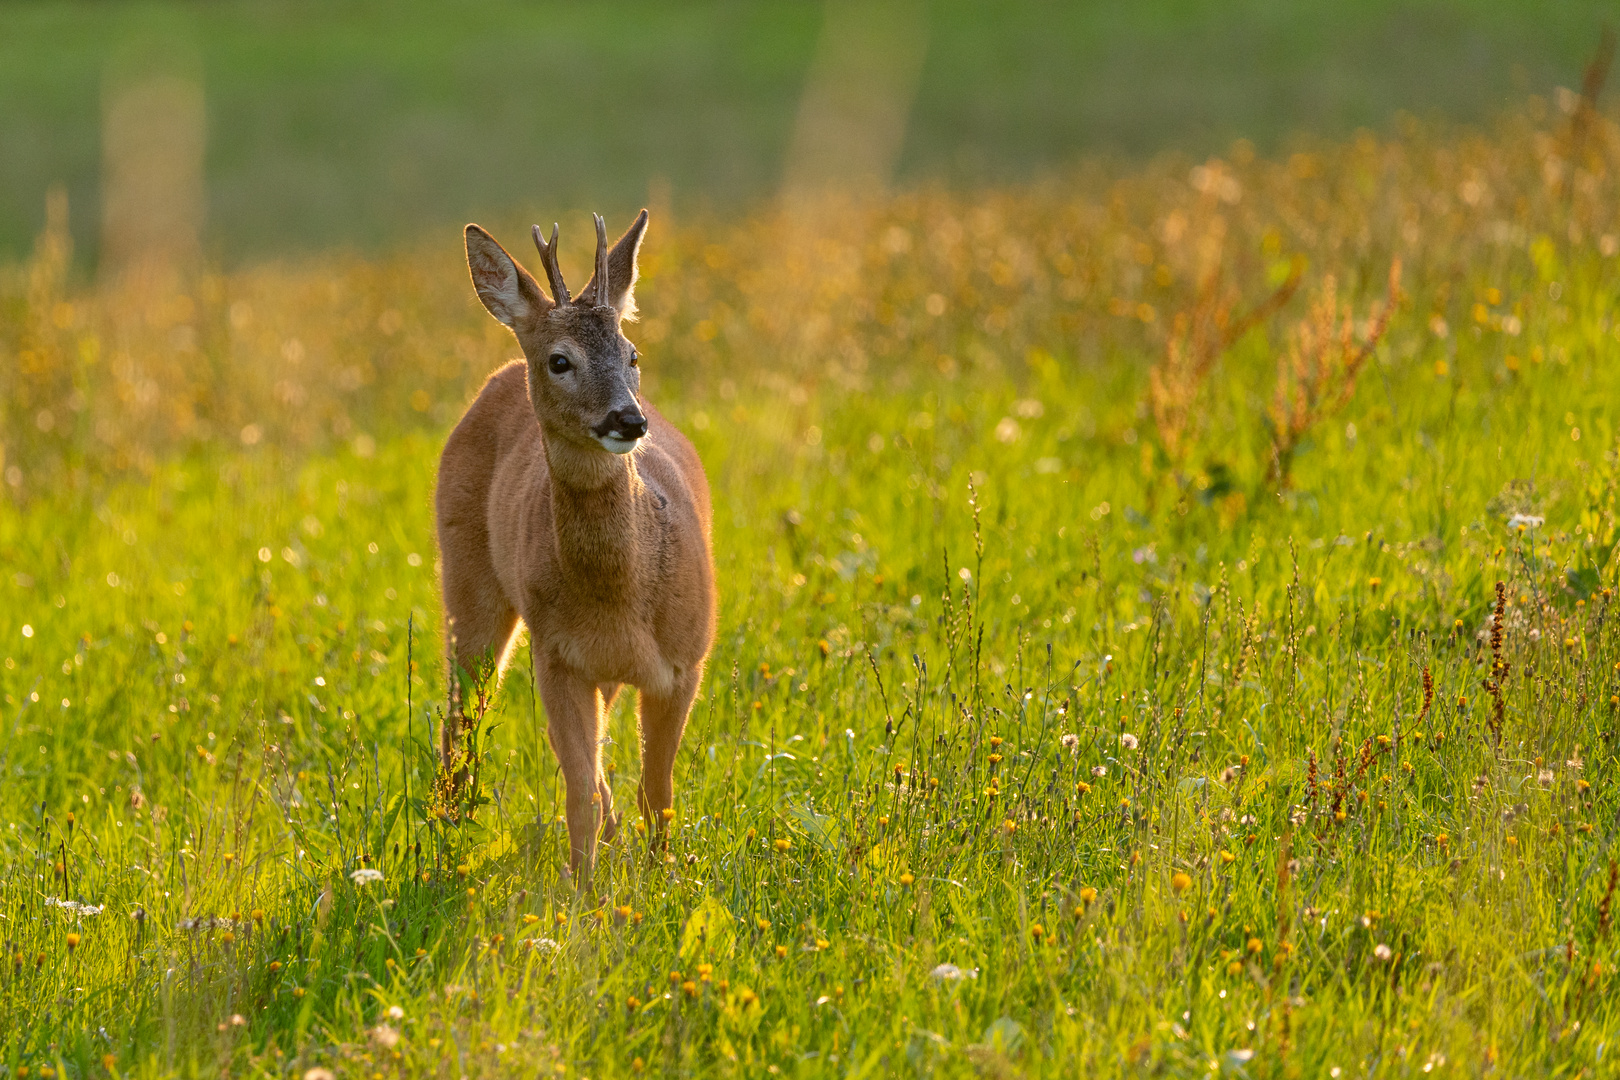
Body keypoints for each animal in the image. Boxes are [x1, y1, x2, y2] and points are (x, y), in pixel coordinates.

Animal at [437, 208, 716, 880]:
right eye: (561, 361)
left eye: (633, 353)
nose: (628, 419)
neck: (621, 600)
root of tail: (501, 374)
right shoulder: (558, 655)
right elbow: (580, 792)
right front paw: (586, 891)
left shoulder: (685, 660)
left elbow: (656, 790)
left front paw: (662, 875)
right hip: (466, 580)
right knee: (462, 709)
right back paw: (448, 833)